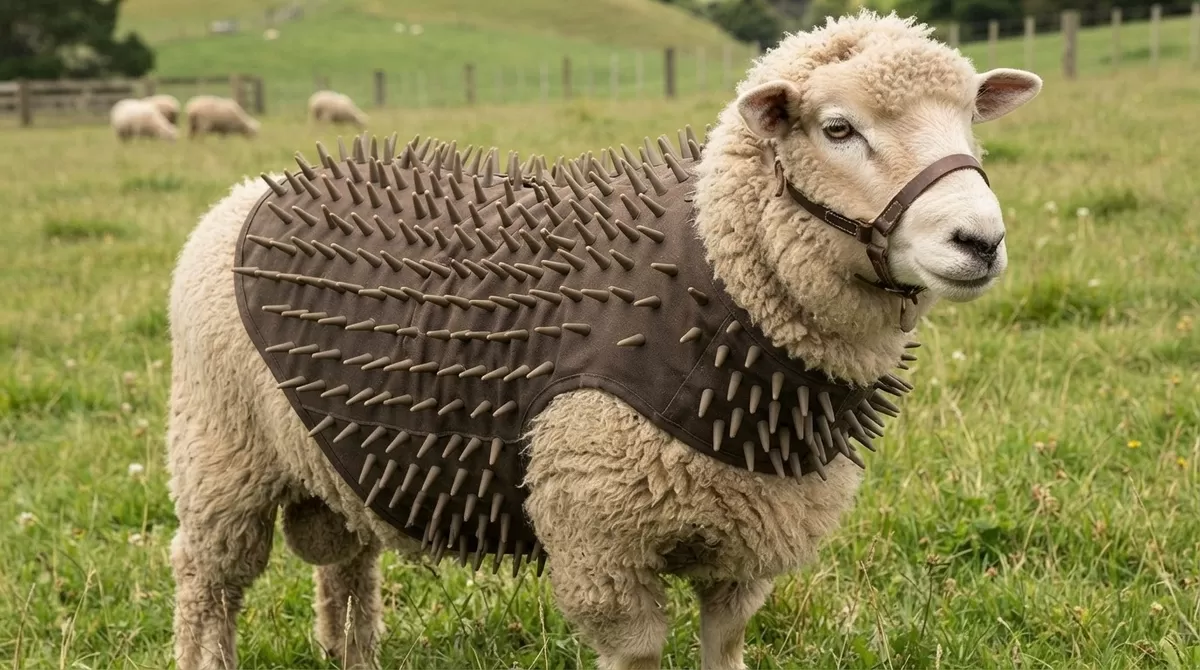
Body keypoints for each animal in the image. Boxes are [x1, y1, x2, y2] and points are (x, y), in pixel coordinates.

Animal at [165, 11, 1041, 670]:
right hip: (221, 453)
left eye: (970, 118)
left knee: (349, 566)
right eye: (837, 128)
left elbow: (726, 646)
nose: (980, 241)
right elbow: (639, 653)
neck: (714, 272)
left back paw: (356, 657)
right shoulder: (601, 535)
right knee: (208, 580)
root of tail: (254, 192)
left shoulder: (747, 542)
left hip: (333, 454)